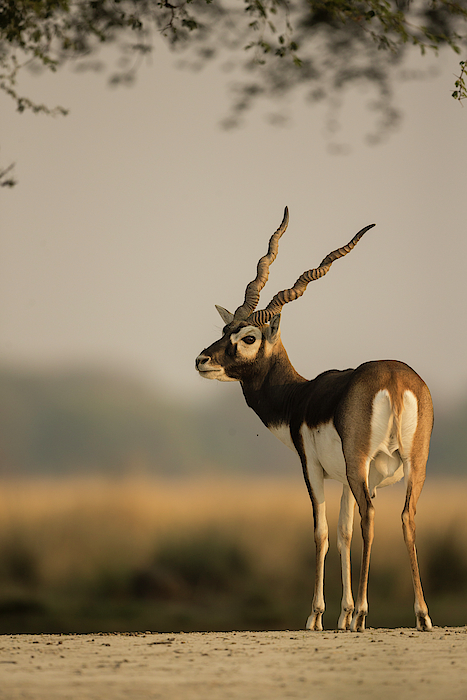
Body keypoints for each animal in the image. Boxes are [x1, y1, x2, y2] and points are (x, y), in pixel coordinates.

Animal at [196, 205, 434, 632]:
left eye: (249, 337)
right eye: (225, 328)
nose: (202, 359)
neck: (300, 397)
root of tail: (392, 378)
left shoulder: (314, 470)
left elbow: (322, 533)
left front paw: (318, 615)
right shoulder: (347, 480)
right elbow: (343, 532)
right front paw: (342, 615)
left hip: (360, 464)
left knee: (372, 517)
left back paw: (364, 614)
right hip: (412, 463)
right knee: (407, 517)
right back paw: (420, 615)